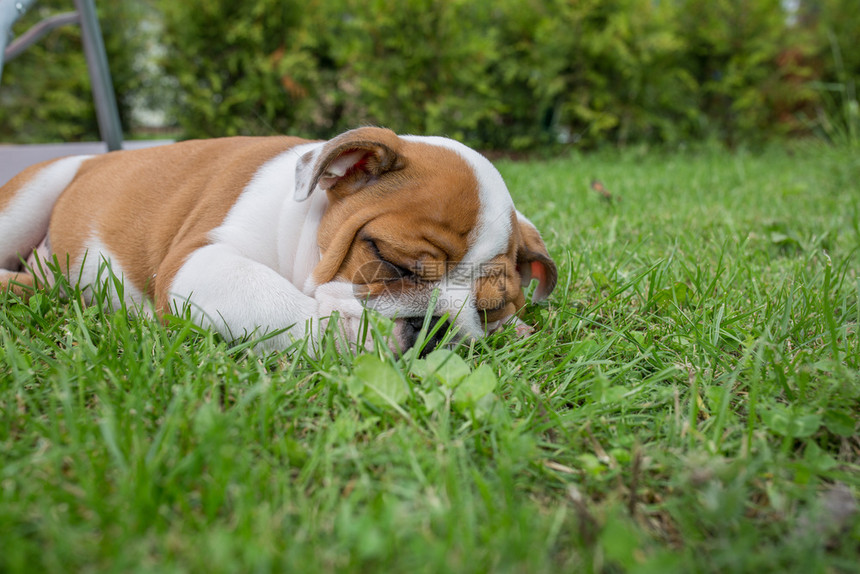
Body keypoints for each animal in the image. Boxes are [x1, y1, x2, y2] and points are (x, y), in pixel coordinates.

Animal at [1, 128, 556, 354]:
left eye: (489, 307)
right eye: (389, 260)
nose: (437, 326)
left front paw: (516, 328)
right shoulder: (202, 262)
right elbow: (283, 306)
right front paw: (349, 336)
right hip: (32, 194)